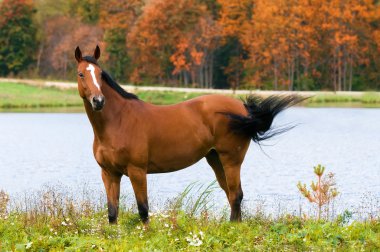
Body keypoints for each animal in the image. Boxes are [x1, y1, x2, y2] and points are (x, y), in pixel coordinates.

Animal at [75, 46, 304, 223]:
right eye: (81, 74)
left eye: (100, 74)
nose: (98, 101)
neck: (118, 121)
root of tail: (242, 109)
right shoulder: (109, 173)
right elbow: (112, 213)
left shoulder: (137, 171)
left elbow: (143, 210)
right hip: (215, 159)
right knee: (231, 195)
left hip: (231, 160)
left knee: (236, 195)